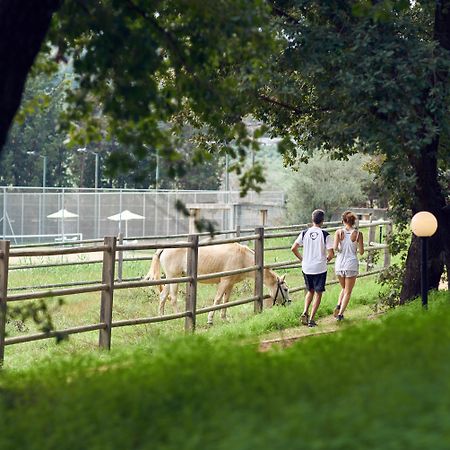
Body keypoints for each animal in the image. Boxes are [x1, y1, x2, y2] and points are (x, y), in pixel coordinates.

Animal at [146, 243, 290, 324]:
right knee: (173, 298)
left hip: (171, 279)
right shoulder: (224, 281)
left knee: (163, 296)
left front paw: (224, 318)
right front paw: (210, 319)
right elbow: (218, 299)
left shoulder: (230, 284)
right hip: (174, 278)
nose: (289, 302)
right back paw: (179, 317)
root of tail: (164, 249)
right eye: (286, 289)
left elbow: (225, 301)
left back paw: (161, 317)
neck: (242, 257)